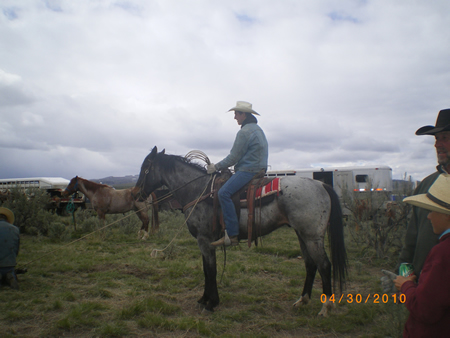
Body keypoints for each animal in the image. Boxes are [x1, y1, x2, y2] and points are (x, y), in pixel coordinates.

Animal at [134, 147, 348, 316]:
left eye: (145, 168)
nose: (137, 194)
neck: (197, 191)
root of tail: (321, 184)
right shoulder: (205, 241)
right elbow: (205, 269)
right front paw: (204, 299)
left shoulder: (205, 239)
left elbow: (211, 270)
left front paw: (211, 303)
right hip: (301, 234)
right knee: (310, 265)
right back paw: (302, 300)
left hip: (312, 236)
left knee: (324, 265)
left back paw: (326, 308)